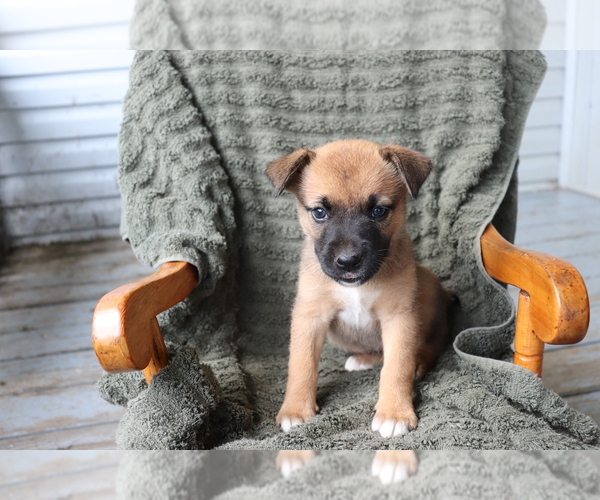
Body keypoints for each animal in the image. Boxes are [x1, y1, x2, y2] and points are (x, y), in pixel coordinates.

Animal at [266, 139, 450, 436]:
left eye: (378, 211)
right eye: (319, 212)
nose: (348, 261)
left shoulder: (399, 316)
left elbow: (397, 366)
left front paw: (394, 412)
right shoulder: (309, 316)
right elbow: (301, 365)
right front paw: (296, 409)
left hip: (429, 293)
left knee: (434, 341)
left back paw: (419, 361)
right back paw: (363, 359)